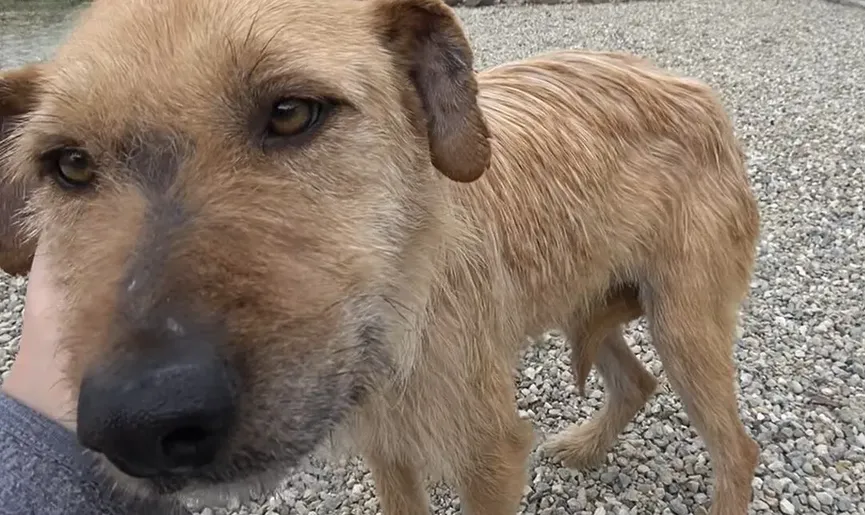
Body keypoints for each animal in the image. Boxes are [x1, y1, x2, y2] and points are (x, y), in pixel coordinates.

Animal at [0, 0, 756, 512]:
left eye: (292, 112)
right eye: (69, 164)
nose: (139, 423)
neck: (398, 315)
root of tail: (694, 92)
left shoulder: (489, 454)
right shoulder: (387, 449)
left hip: (684, 324)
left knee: (736, 449)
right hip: (585, 297)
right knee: (636, 382)